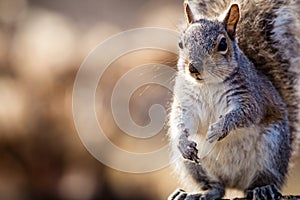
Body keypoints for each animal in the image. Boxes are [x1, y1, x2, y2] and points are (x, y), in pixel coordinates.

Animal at [169, 0, 300, 200]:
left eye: (223, 44)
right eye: (181, 43)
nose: (193, 68)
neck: (208, 85)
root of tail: (234, 183)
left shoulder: (250, 96)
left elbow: (243, 115)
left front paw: (218, 129)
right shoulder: (186, 103)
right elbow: (180, 120)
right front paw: (183, 142)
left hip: (272, 149)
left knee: (265, 178)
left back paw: (263, 189)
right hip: (194, 166)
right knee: (217, 187)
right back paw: (200, 192)